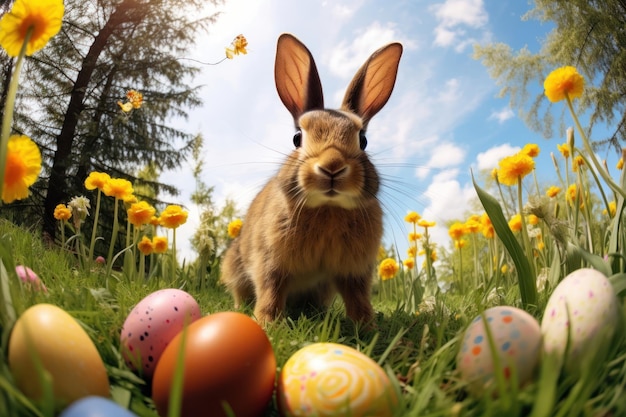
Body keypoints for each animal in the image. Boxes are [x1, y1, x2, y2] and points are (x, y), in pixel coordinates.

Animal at [219, 33, 402, 324]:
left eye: (363, 140)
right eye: (297, 138)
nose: (332, 167)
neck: (328, 207)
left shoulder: (354, 271)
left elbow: (358, 297)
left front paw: (367, 325)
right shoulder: (271, 263)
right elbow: (270, 292)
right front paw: (267, 322)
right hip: (235, 266)